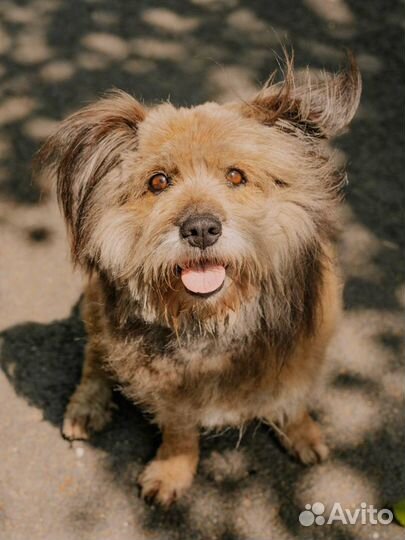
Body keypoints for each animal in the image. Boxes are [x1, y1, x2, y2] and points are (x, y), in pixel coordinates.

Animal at [37, 54, 360, 506]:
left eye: (237, 176)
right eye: (158, 181)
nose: (201, 229)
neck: (213, 321)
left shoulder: (305, 347)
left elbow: (293, 397)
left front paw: (302, 432)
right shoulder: (168, 386)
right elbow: (179, 430)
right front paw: (172, 471)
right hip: (97, 301)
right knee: (95, 355)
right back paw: (87, 405)